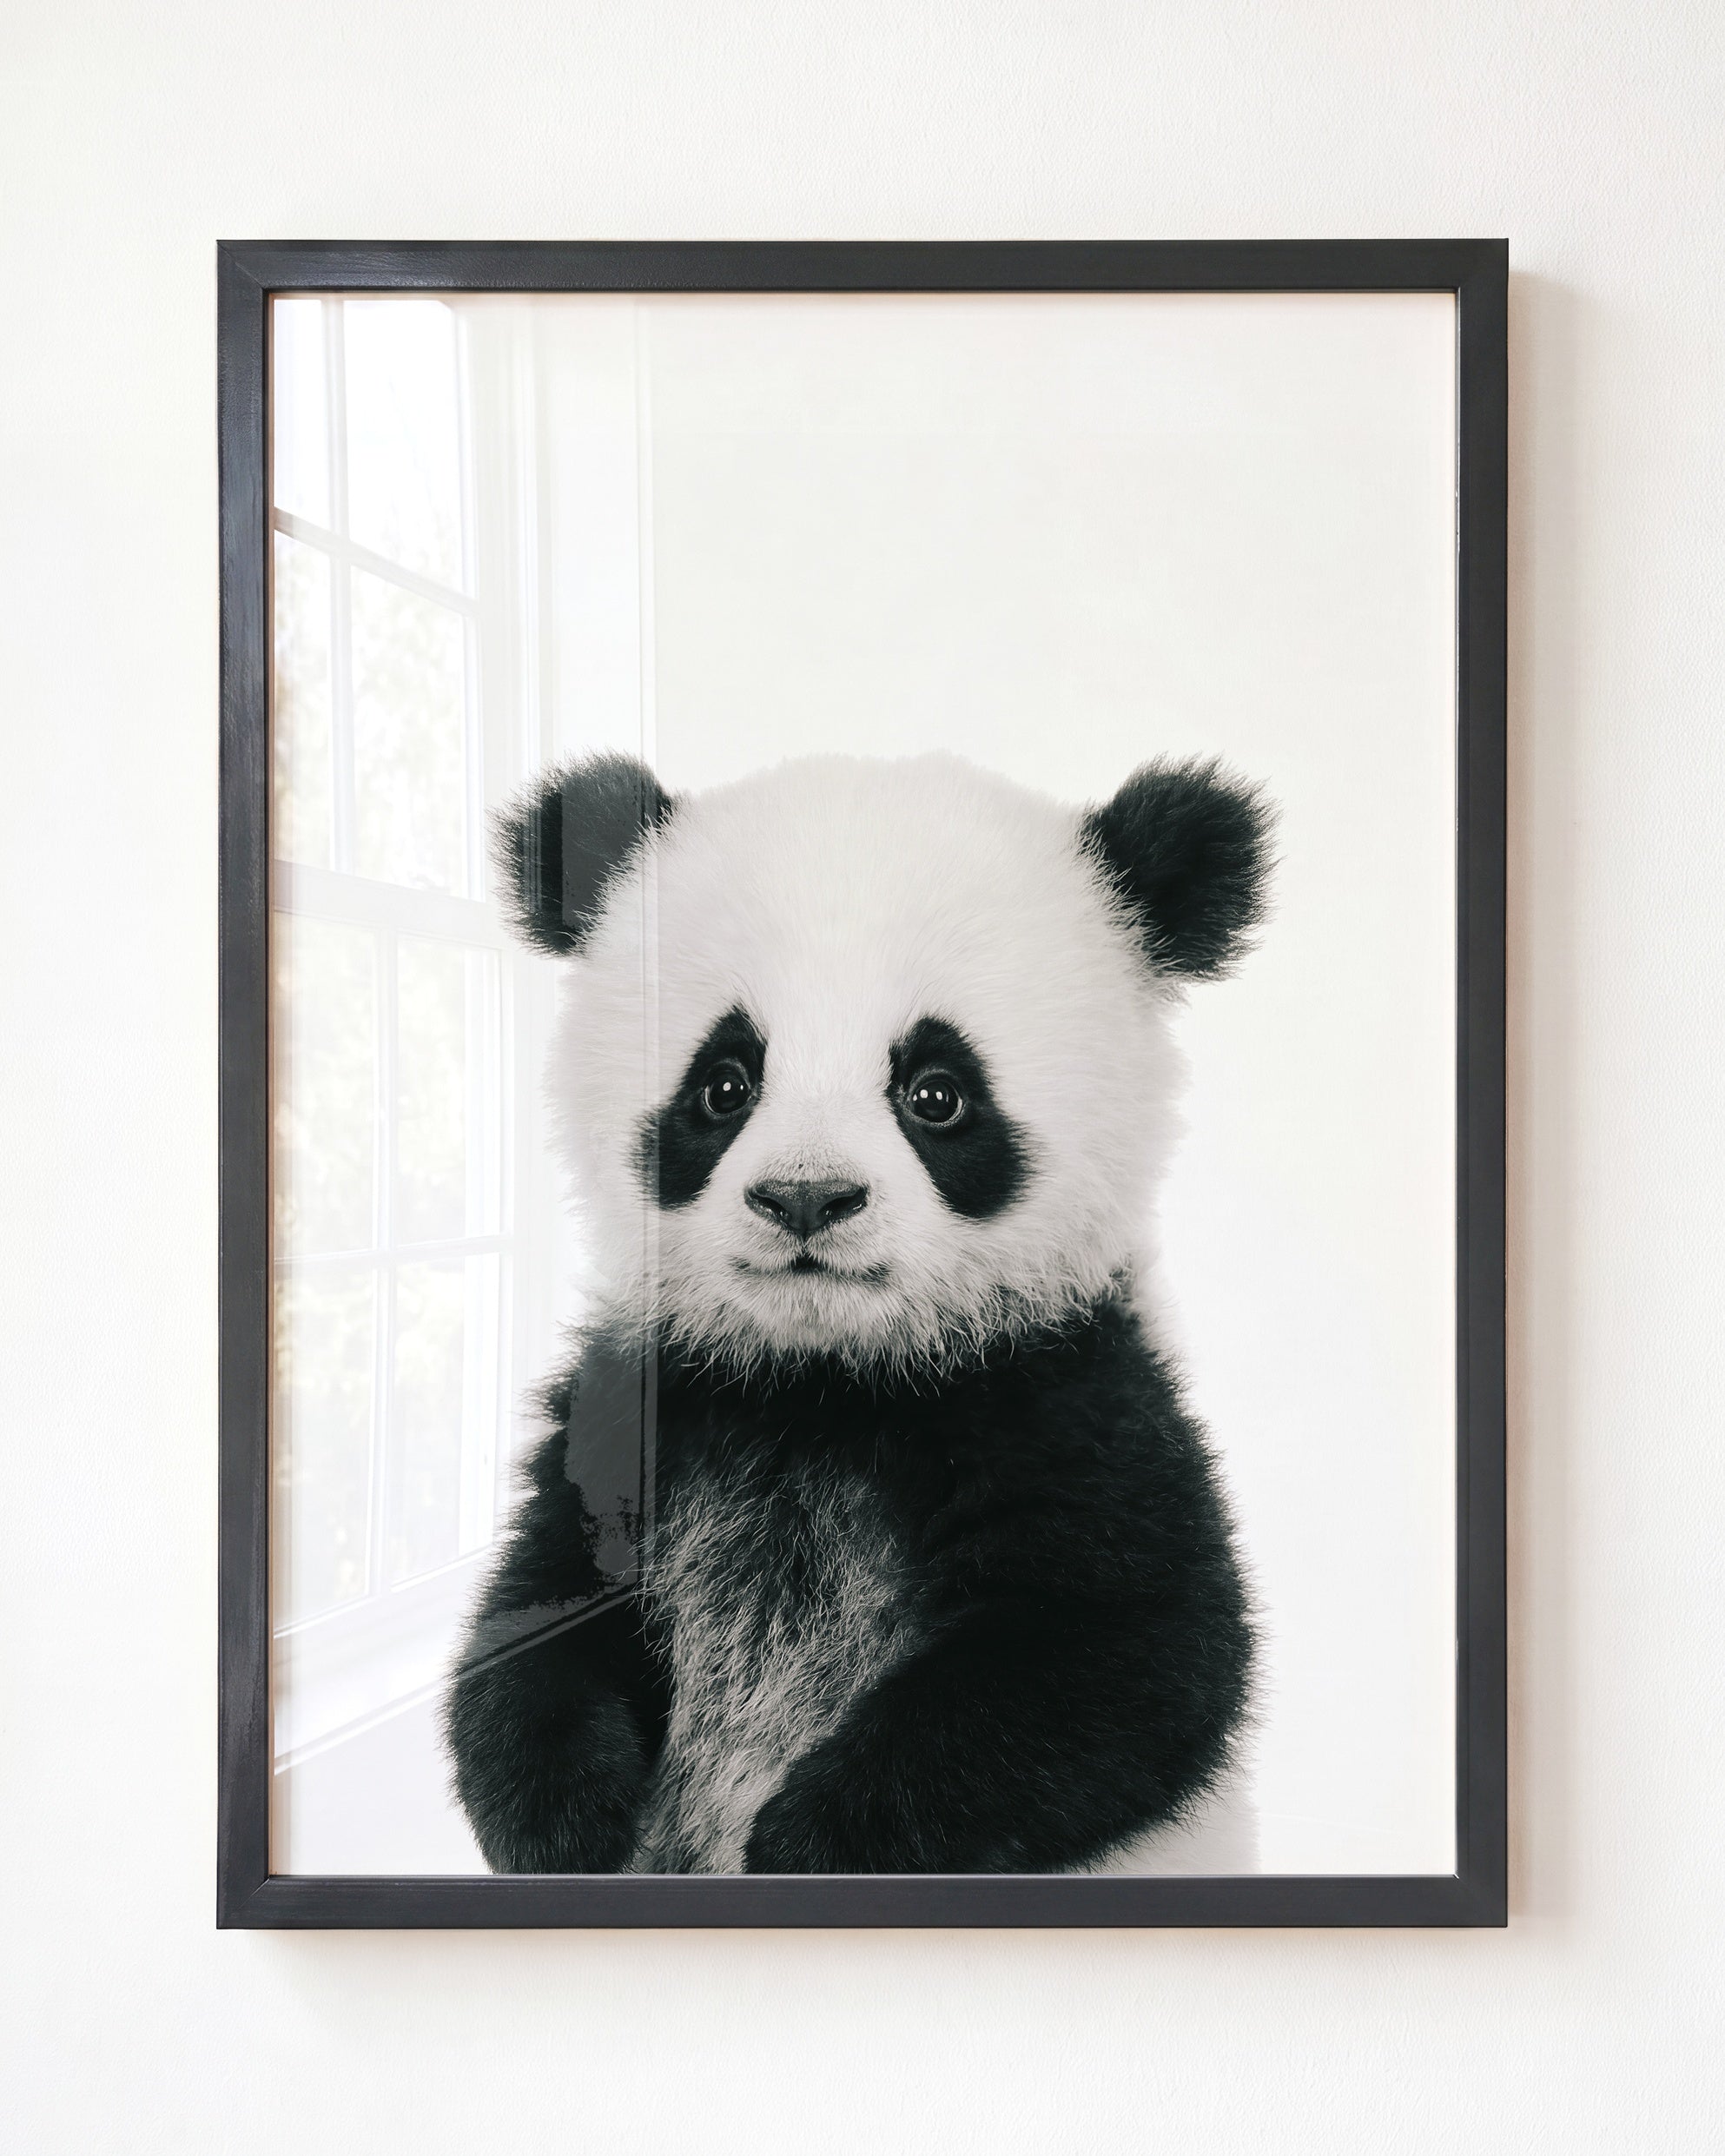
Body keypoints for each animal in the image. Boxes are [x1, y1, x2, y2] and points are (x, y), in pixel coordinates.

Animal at [444, 749, 1271, 1875]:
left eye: (936, 1091)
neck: (827, 1378)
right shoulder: (645, 1405)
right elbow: (535, 1613)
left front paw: (811, 1841)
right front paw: (567, 1818)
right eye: (725, 1083)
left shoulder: (1070, 1396)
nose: (806, 1197)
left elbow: (1130, 1654)